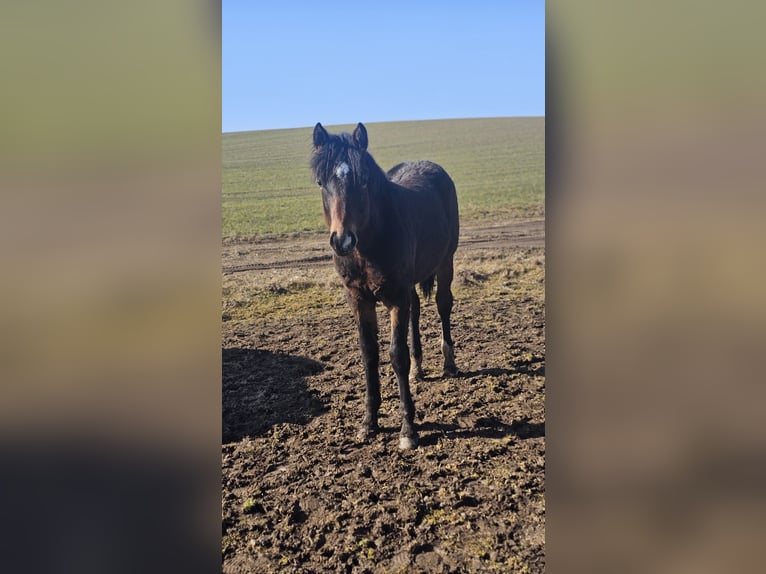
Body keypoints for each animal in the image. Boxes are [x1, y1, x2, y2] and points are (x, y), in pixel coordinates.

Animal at [310, 122, 459, 449]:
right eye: (320, 182)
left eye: (363, 180)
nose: (342, 240)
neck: (368, 244)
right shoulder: (359, 299)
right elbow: (369, 355)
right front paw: (369, 423)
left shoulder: (395, 298)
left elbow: (396, 355)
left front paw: (408, 430)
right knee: (416, 308)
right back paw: (419, 368)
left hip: (446, 262)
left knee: (443, 304)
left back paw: (449, 363)